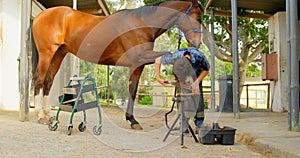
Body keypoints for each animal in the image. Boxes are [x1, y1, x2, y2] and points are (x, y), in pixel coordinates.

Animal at [32, 0, 204, 130]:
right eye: (198, 18)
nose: (197, 44)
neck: (141, 24)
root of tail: (41, 15)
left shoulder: (137, 65)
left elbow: (133, 91)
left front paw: (132, 120)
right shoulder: (139, 57)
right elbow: (168, 54)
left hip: (58, 54)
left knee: (48, 81)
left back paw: (49, 115)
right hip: (47, 53)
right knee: (38, 80)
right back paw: (40, 116)